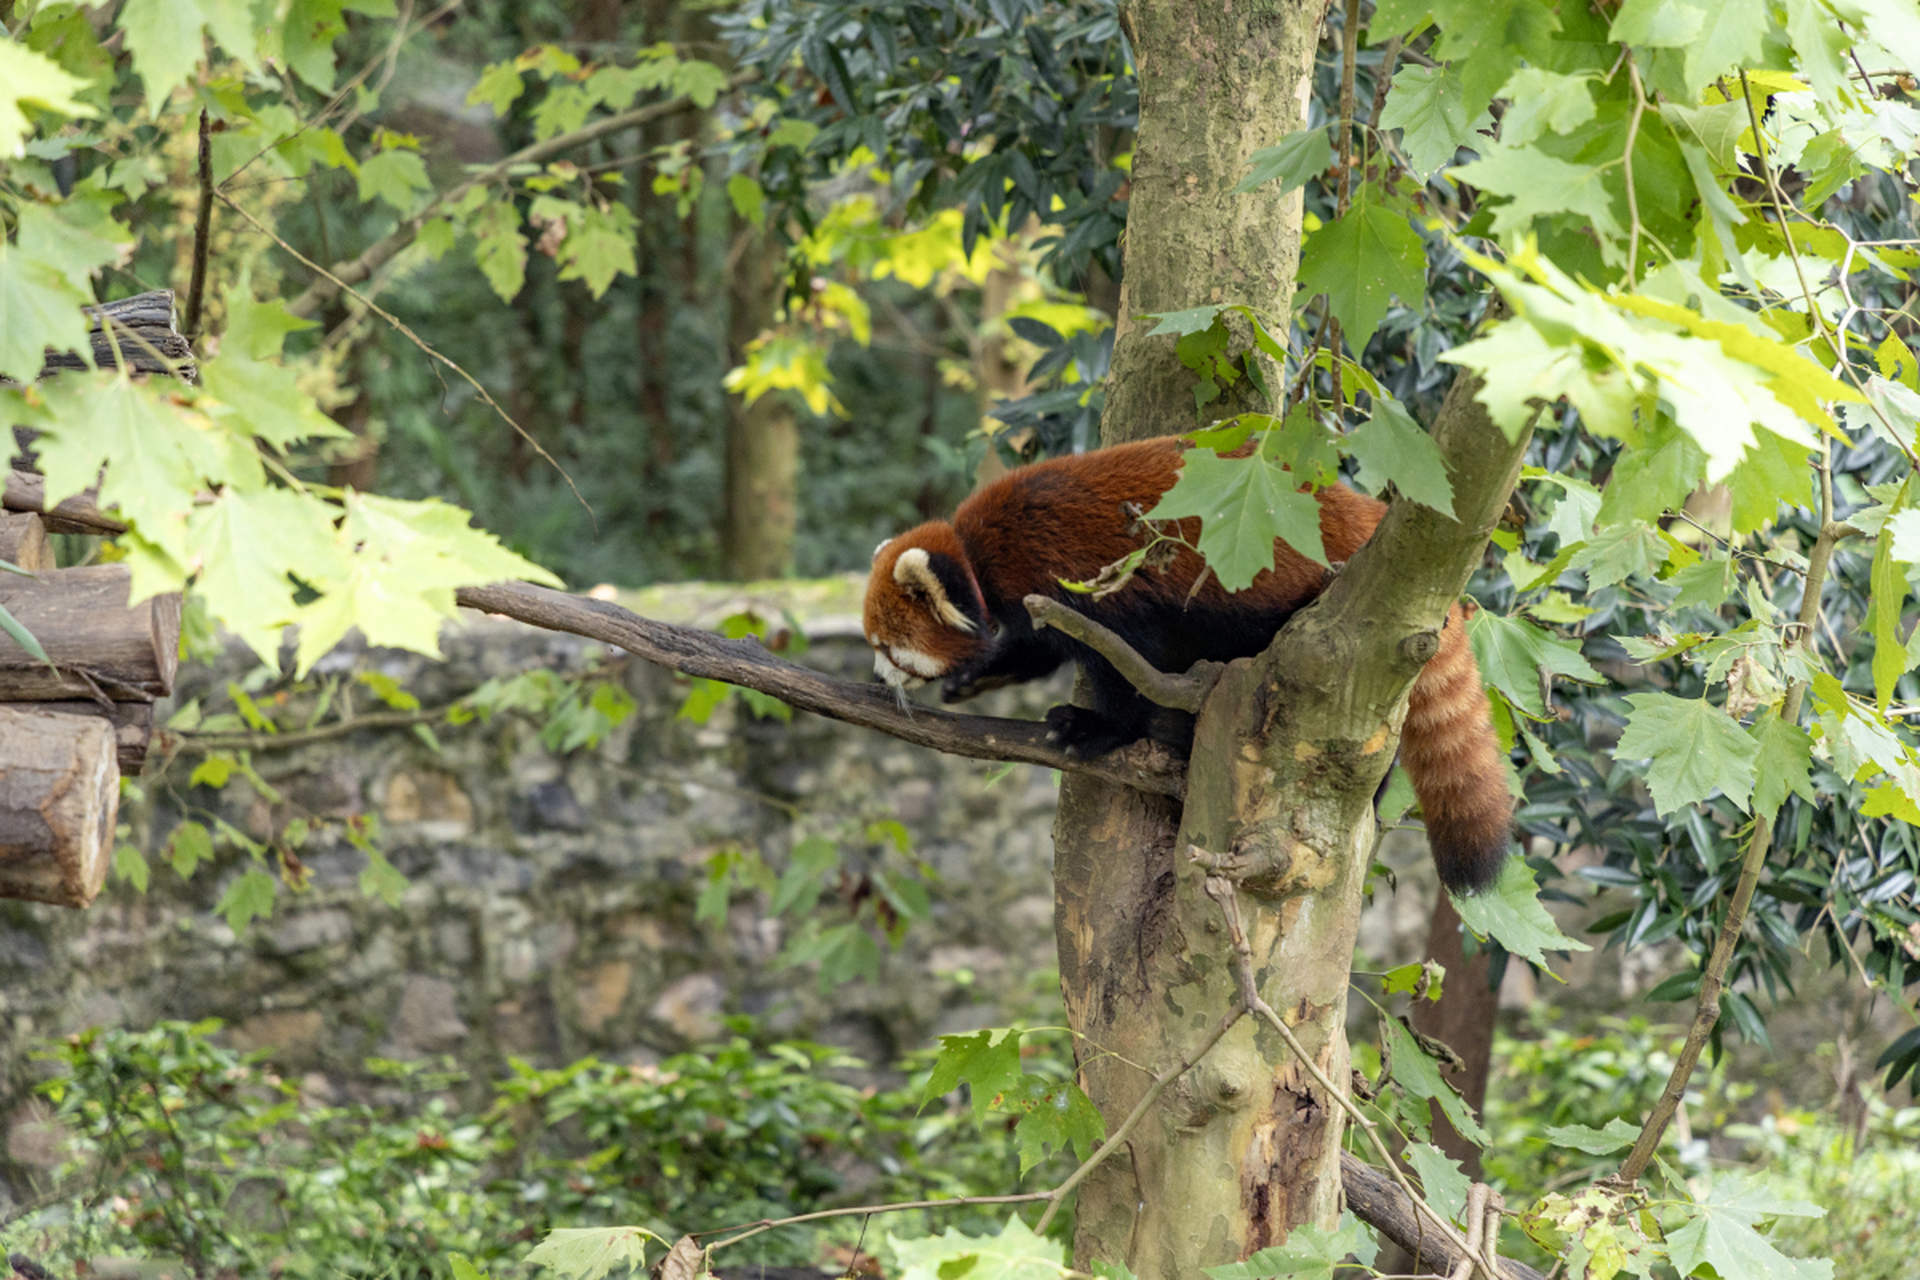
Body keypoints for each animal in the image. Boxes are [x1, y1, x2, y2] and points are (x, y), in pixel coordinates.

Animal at [867, 435, 1512, 898]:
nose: (877, 679)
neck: (976, 560)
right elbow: (1039, 646)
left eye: (888, 650)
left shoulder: (1085, 584)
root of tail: (1367, 515)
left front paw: (1095, 728)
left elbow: (1125, 663)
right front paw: (974, 678)